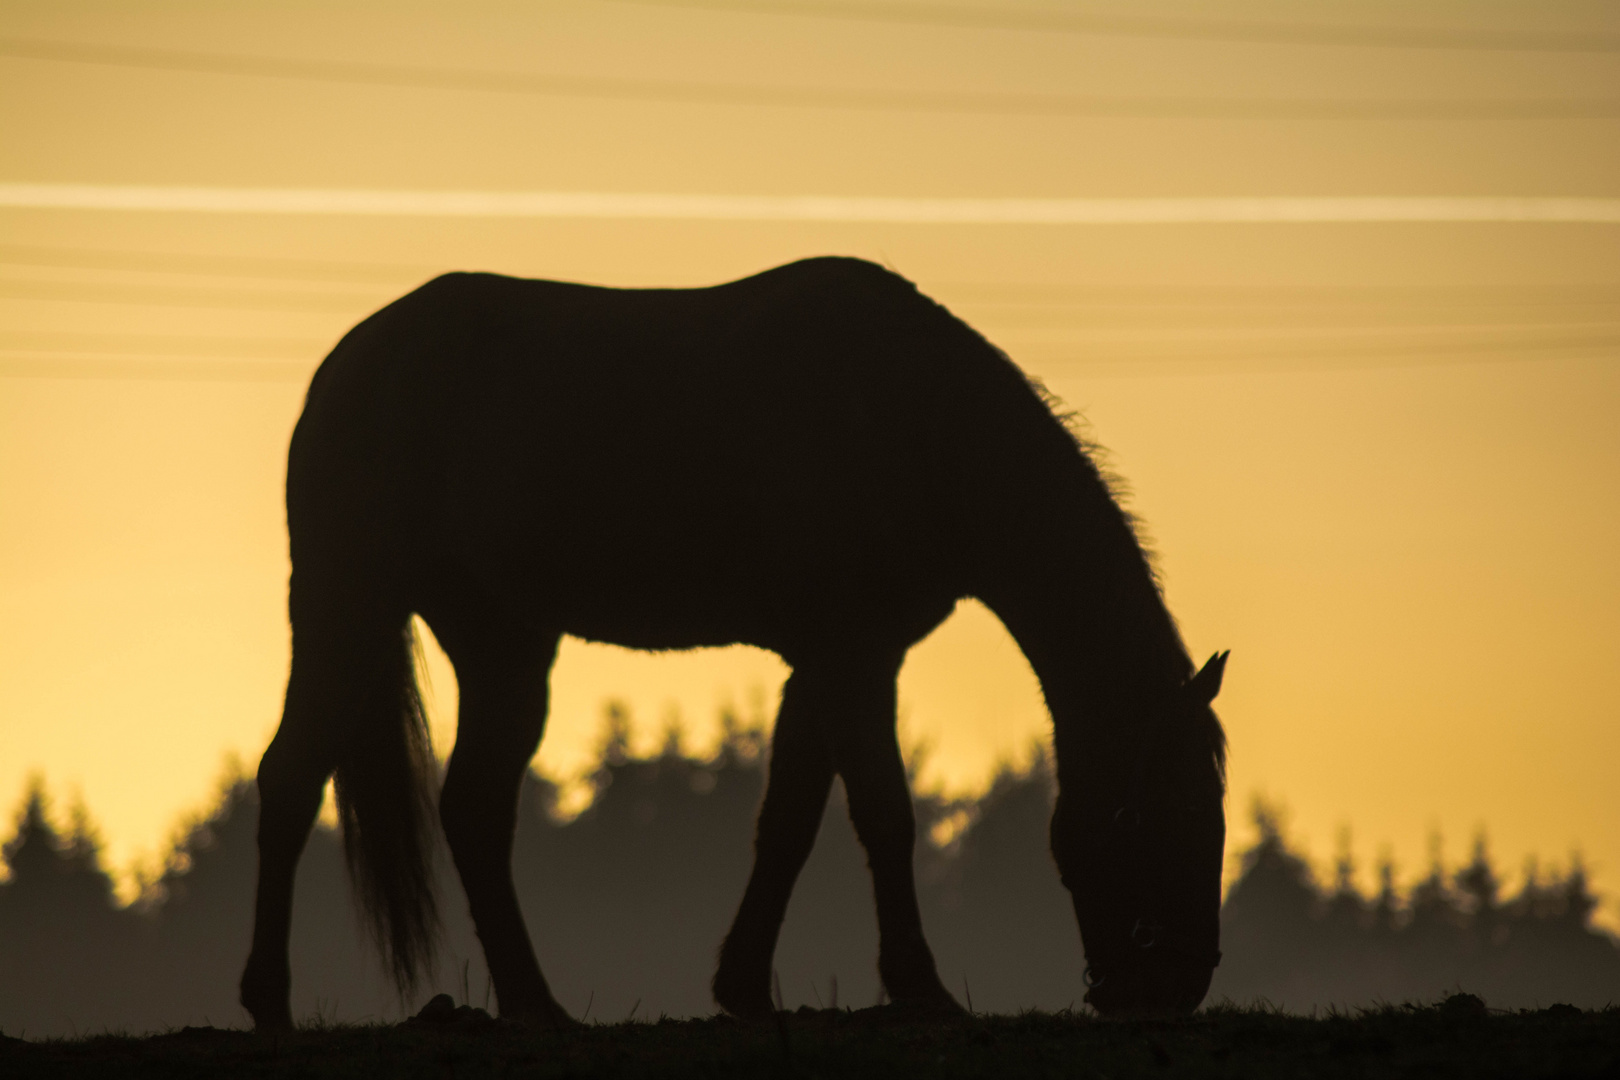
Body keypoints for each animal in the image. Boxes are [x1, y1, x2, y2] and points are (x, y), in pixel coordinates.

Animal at [236, 255, 1224, 1029]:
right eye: (1142, 814)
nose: (1173, 985)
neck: (912, 419)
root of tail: (347, 363)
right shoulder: (855, 657)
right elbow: (885, 816)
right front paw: (921, 989)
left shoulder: (828, 662)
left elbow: (787, 821)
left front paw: (744, 987)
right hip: (346, 606)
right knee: (290, 779)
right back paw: (269, 1002)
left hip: (504, 644)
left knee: (476, 809)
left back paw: (535, 1005)